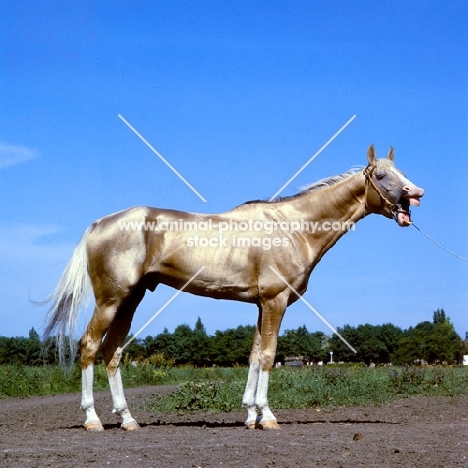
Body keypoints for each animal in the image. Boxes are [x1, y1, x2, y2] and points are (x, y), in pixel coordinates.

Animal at [44, 145, 424, 432]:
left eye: (401, 171)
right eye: (381, 176)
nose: (417, 194)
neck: (294, 226)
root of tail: (99, 224)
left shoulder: (260, 305)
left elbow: (255, 355)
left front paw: (251, 414)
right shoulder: (275, 301)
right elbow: (268, 355)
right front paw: (267, 417)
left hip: (130, 300)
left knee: (113, 352)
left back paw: (127, 420)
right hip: (111, 300)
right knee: (90, 346)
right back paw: (92, 419)